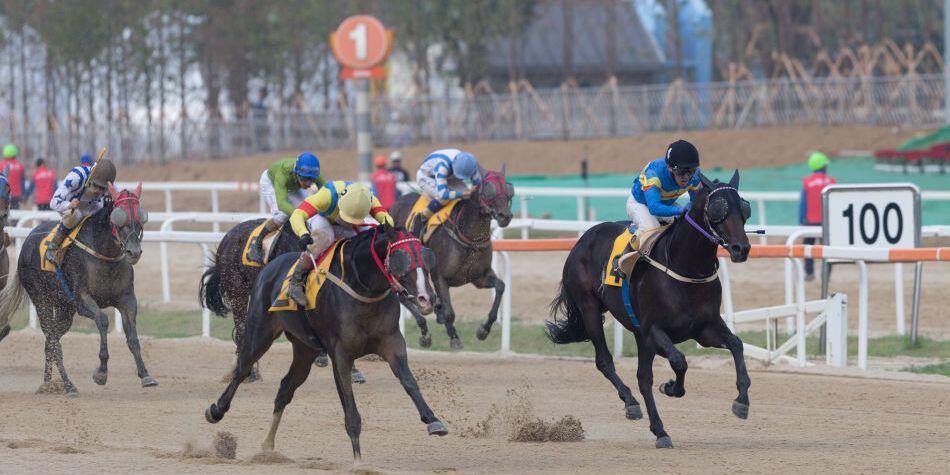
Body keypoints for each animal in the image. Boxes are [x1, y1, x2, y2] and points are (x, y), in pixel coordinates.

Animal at [0, 184, 156, 396]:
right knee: (53, 340)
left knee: (51, 340)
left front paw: (145, 374)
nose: (134, 251)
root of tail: (27, 241)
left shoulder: (127, 300)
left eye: (140, 217)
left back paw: (48, 383)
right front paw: (101, 372)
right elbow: (103, 321)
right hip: (42, 300)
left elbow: (132, 335)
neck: (105, 254)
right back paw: (67, 384)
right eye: (119, 217)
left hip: (65, 308)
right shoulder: (81, 299)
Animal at [205, 225, 446, 462]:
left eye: (427, 257)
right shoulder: (340, 353)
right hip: (259, 331)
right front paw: (358, 461)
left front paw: (433, 420)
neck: (363, 288)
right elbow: (349, 405)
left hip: (305, 350)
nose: (427, 298)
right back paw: (216, 410)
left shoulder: (392, 343)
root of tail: (271, 266)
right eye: (401, 258)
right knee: (242, 369)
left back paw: (268, 446)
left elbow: (409, 381)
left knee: (285, 388)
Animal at [392, 168, 516, 350]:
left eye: (509, 189)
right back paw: (424, 333)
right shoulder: (440, 278)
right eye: (488, 188)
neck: (469, 237)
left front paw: (484, 330)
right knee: (402, 296)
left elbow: (500, 286)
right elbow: (450, 313)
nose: (505, 216)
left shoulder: (479, 277)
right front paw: (454, 337)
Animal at [548, 172, 756, 450]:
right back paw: (633, 405)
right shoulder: (653, 330)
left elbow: (736, 344)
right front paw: (670, 387)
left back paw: (659, 430)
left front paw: (742, 401)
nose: (740, 248)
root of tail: (583, 238)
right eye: (718, 209)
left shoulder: (705, 328)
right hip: (590, 308)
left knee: (643, 378)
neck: (685, 267)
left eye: (743, 208)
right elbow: (679, 360)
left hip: (637, 333)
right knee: (605, 361)